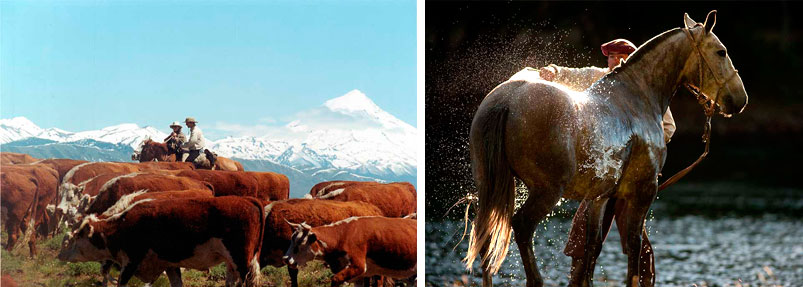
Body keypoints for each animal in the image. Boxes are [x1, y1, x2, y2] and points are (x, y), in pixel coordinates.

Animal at [58, 197, 264, 286]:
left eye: (77, 235)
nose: (60, 254)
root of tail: (249, 200)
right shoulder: (169, 264)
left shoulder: (132, 261)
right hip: (232, 263)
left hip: (242, 261)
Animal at [284, 217, 420, 286]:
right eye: (291, 239)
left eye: (300, 242)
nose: (286, 259)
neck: (342, 235)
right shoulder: (360, 276)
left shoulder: (358, 266)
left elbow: (335, 279)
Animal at [468, 10, 752, 286]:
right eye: (721, 51)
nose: (740, 100)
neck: (637, 97)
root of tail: (506, 101)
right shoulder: (643, 191)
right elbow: (635, 249)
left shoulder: (599, 197)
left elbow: (590, 251)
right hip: (546, 192)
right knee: (522, 228)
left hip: (490, 186)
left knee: (486, 240)